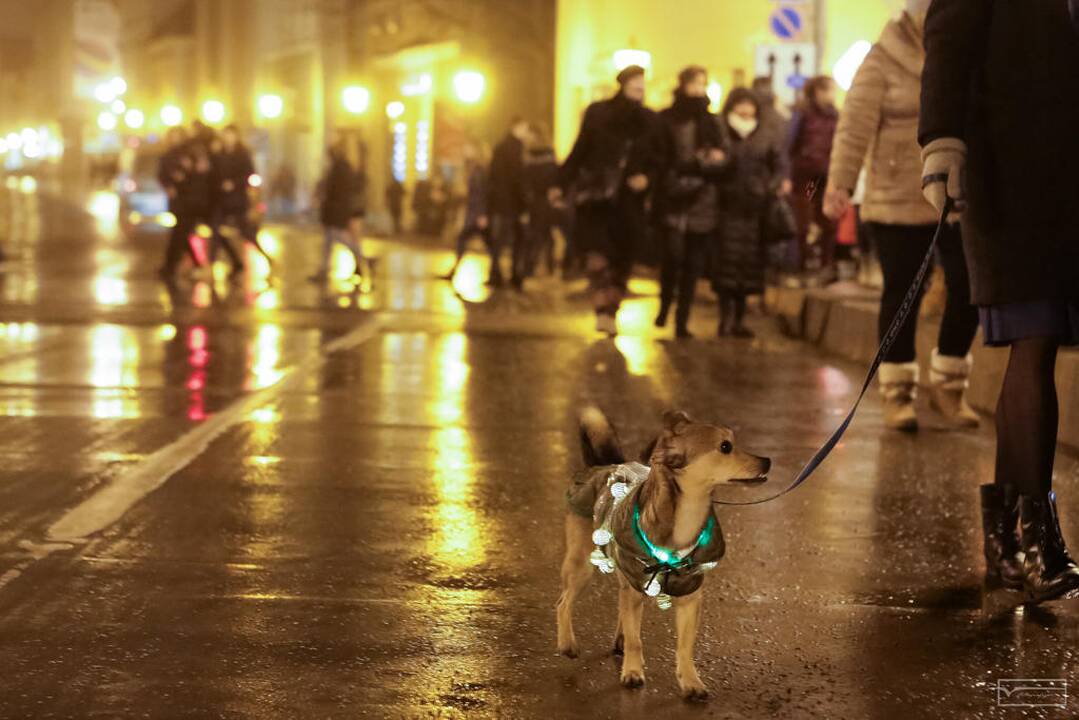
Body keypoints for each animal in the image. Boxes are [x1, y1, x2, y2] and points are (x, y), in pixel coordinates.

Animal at [556, 408, 768, 699]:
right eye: (726, 447)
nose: (767, 461)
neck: (687, 515)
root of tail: (607, 465)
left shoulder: (690, 597)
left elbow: (685, 647)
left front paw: (691, 681)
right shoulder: (634, 587)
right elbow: (636, 640)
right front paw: (633, 672)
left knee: (620, 606)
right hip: (581, 565)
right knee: (564, 603)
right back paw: (567, 642)